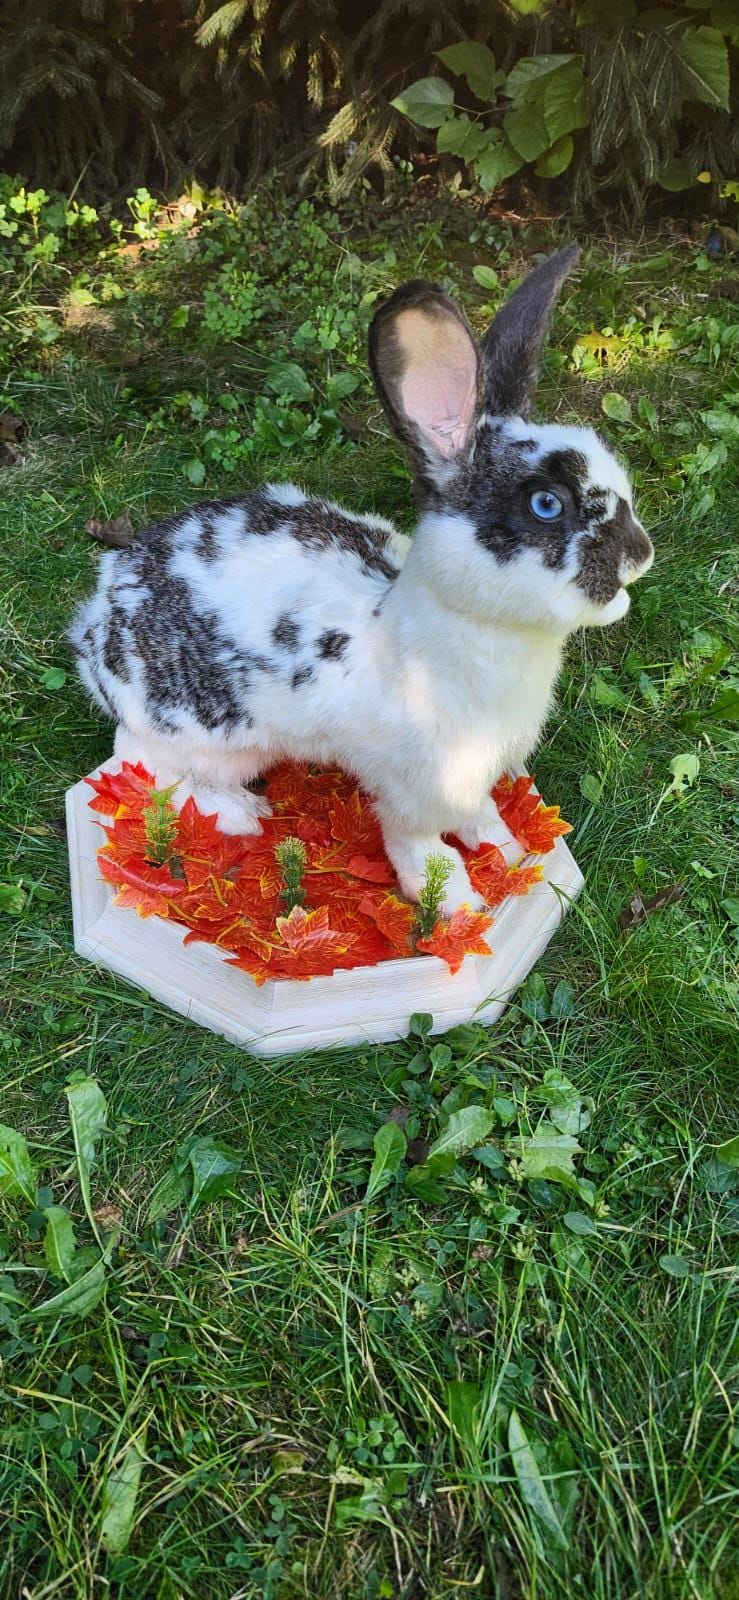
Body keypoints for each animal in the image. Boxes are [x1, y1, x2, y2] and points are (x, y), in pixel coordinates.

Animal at [71, 246, 654, 915]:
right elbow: (423, 855)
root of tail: (95, 625)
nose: (640, 553)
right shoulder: (413, 796)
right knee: (141, 770)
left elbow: (482, 819)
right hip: (205, 738)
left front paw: (509, 854)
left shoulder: (473, 781)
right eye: (546, 505)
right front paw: (463, 910)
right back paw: (242, 812)